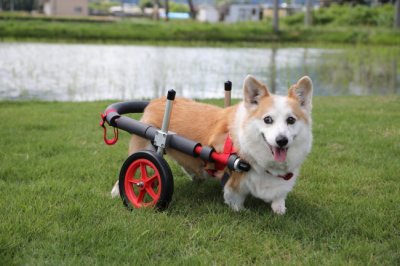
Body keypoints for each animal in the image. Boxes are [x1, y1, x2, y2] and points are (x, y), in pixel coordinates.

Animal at [111, 75, 314, 214]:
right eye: (267, 120)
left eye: (291, 120)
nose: (282, 140)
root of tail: (155, 101)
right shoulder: (235, 180)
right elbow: (234, 199)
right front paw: (240, 210)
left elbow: (279, 198)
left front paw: (279, 209)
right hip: (146, 148)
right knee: (136, 167)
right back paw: (121, 191)